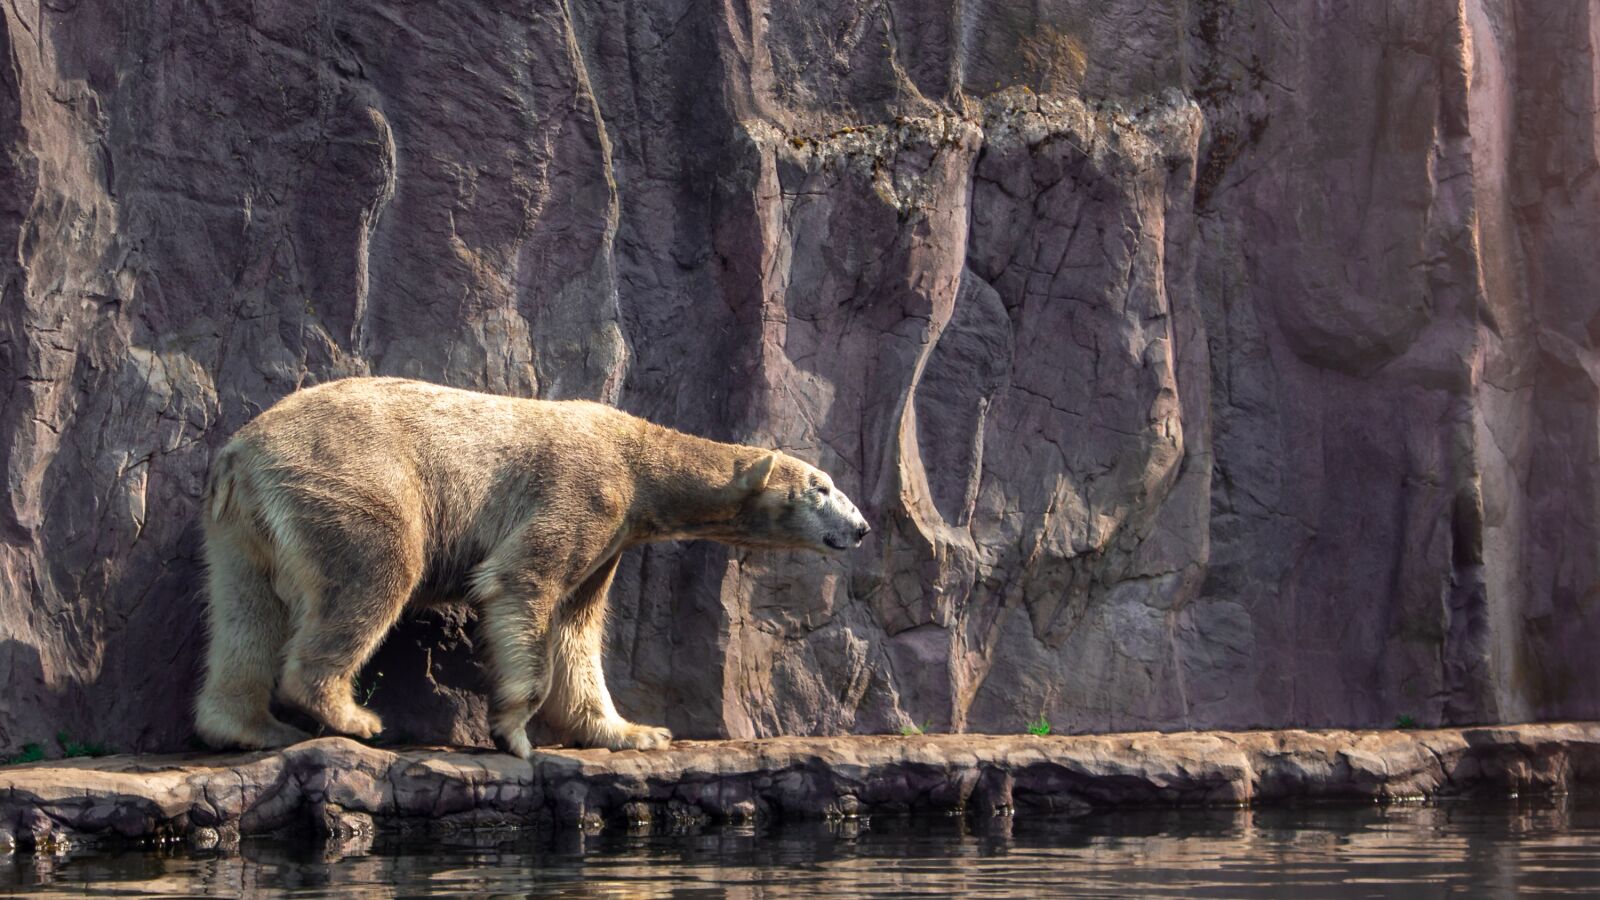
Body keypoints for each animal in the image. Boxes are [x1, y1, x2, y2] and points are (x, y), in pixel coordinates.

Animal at [193, 377, 870, 758]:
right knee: (374, 571)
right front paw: (514, 730)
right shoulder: (585, 490)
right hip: (349, 478)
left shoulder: (612, 537)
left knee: (246, 609)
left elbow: (578, 627)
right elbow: (523, 584)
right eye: (822, 487)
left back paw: (248, 726)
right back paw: (351, 714)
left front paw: (634, 732)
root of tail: (239, 451)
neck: (637, 458)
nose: (862, 527)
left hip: (241, 525)